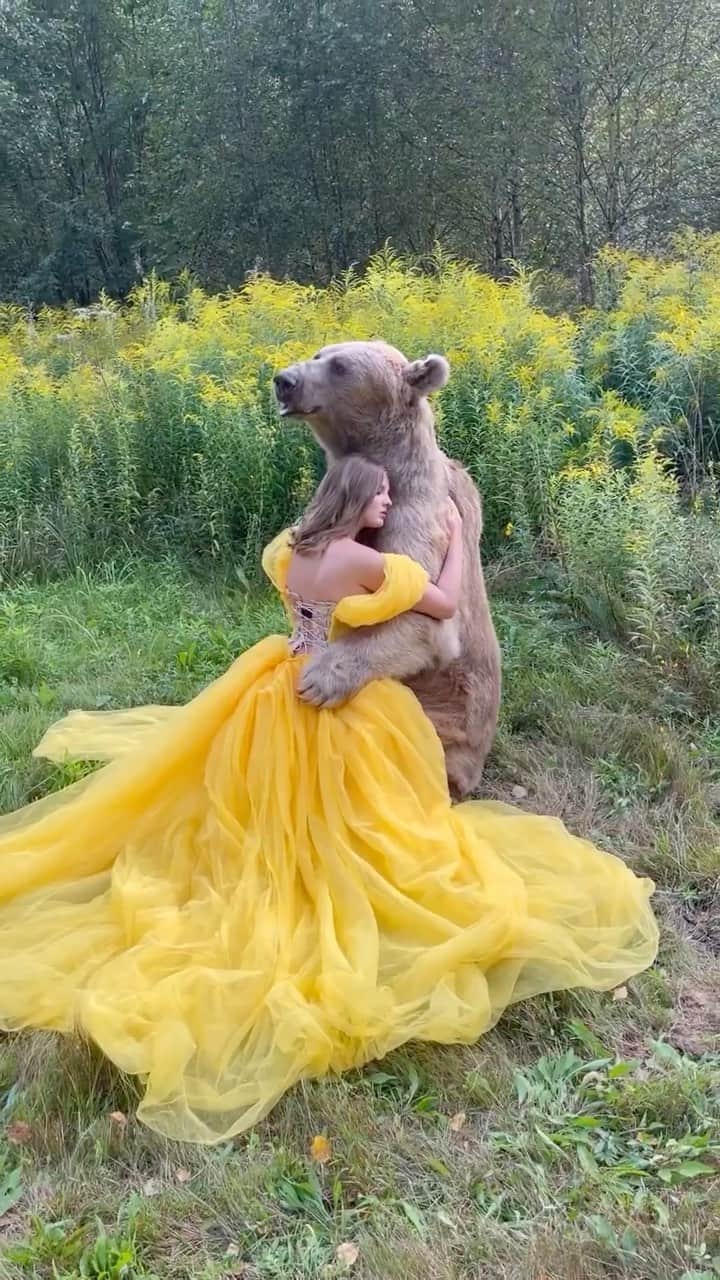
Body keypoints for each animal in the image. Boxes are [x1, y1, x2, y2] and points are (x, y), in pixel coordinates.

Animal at [273, 340, 501, 797]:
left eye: (340, 366)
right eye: (319, 353)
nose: (284, 380)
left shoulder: (421, 516)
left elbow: (421, 614)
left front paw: (319, 678)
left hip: (451, 719)